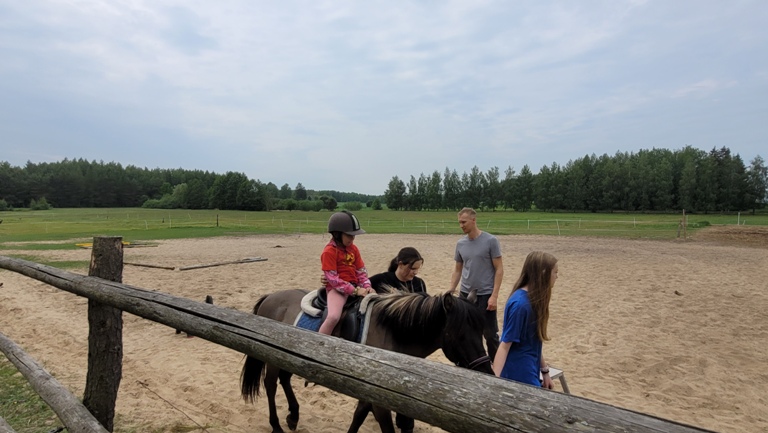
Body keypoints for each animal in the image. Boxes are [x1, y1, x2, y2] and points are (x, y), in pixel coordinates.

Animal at [240, 289, 494, 433]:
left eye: (481, 330)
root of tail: (270, 298)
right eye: (460, 334)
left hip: (285, 355)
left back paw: (293, 415)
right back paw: (276, 426)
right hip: (272, 357)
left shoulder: (370, 388)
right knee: (271, 386)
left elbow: (359, 415)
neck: (392, 331)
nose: (487, 371)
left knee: (284, 379)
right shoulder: (380, 399)